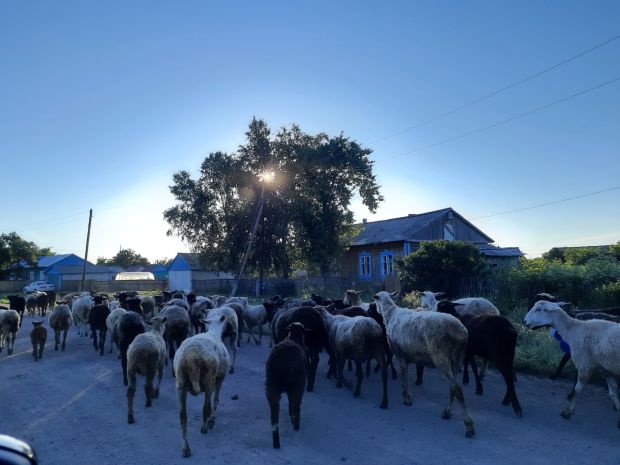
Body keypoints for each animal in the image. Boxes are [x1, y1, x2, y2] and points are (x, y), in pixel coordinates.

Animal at [172, 312, 230, 456]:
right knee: (206, 407)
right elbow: (216, 400)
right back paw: (205, 427)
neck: (213, 332)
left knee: (183, 416)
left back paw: (186, 448)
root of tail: (190, 358)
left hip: (180, 384)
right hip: (208, 379)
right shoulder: (220, 379)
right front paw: (212, 420)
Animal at [372, 290, 474, 436]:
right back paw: (447, 412)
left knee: (457, 389)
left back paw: (469, 425)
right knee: (452, 387)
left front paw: (406, 398)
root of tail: (460, 332)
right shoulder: (406, 356)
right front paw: (405, 394)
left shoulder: (399, 354)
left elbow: (404, 375)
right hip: (457, 359)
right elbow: (404, 374)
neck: (390, 314)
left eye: (375, 300)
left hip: (441, 357)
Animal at [524, 300, 620, 428]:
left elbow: (577, 390)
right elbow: (613, 395)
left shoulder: (584, 365)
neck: (572, 329)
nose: (524, 321)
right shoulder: (607, 371)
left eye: (539, 309)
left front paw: (568, 412)